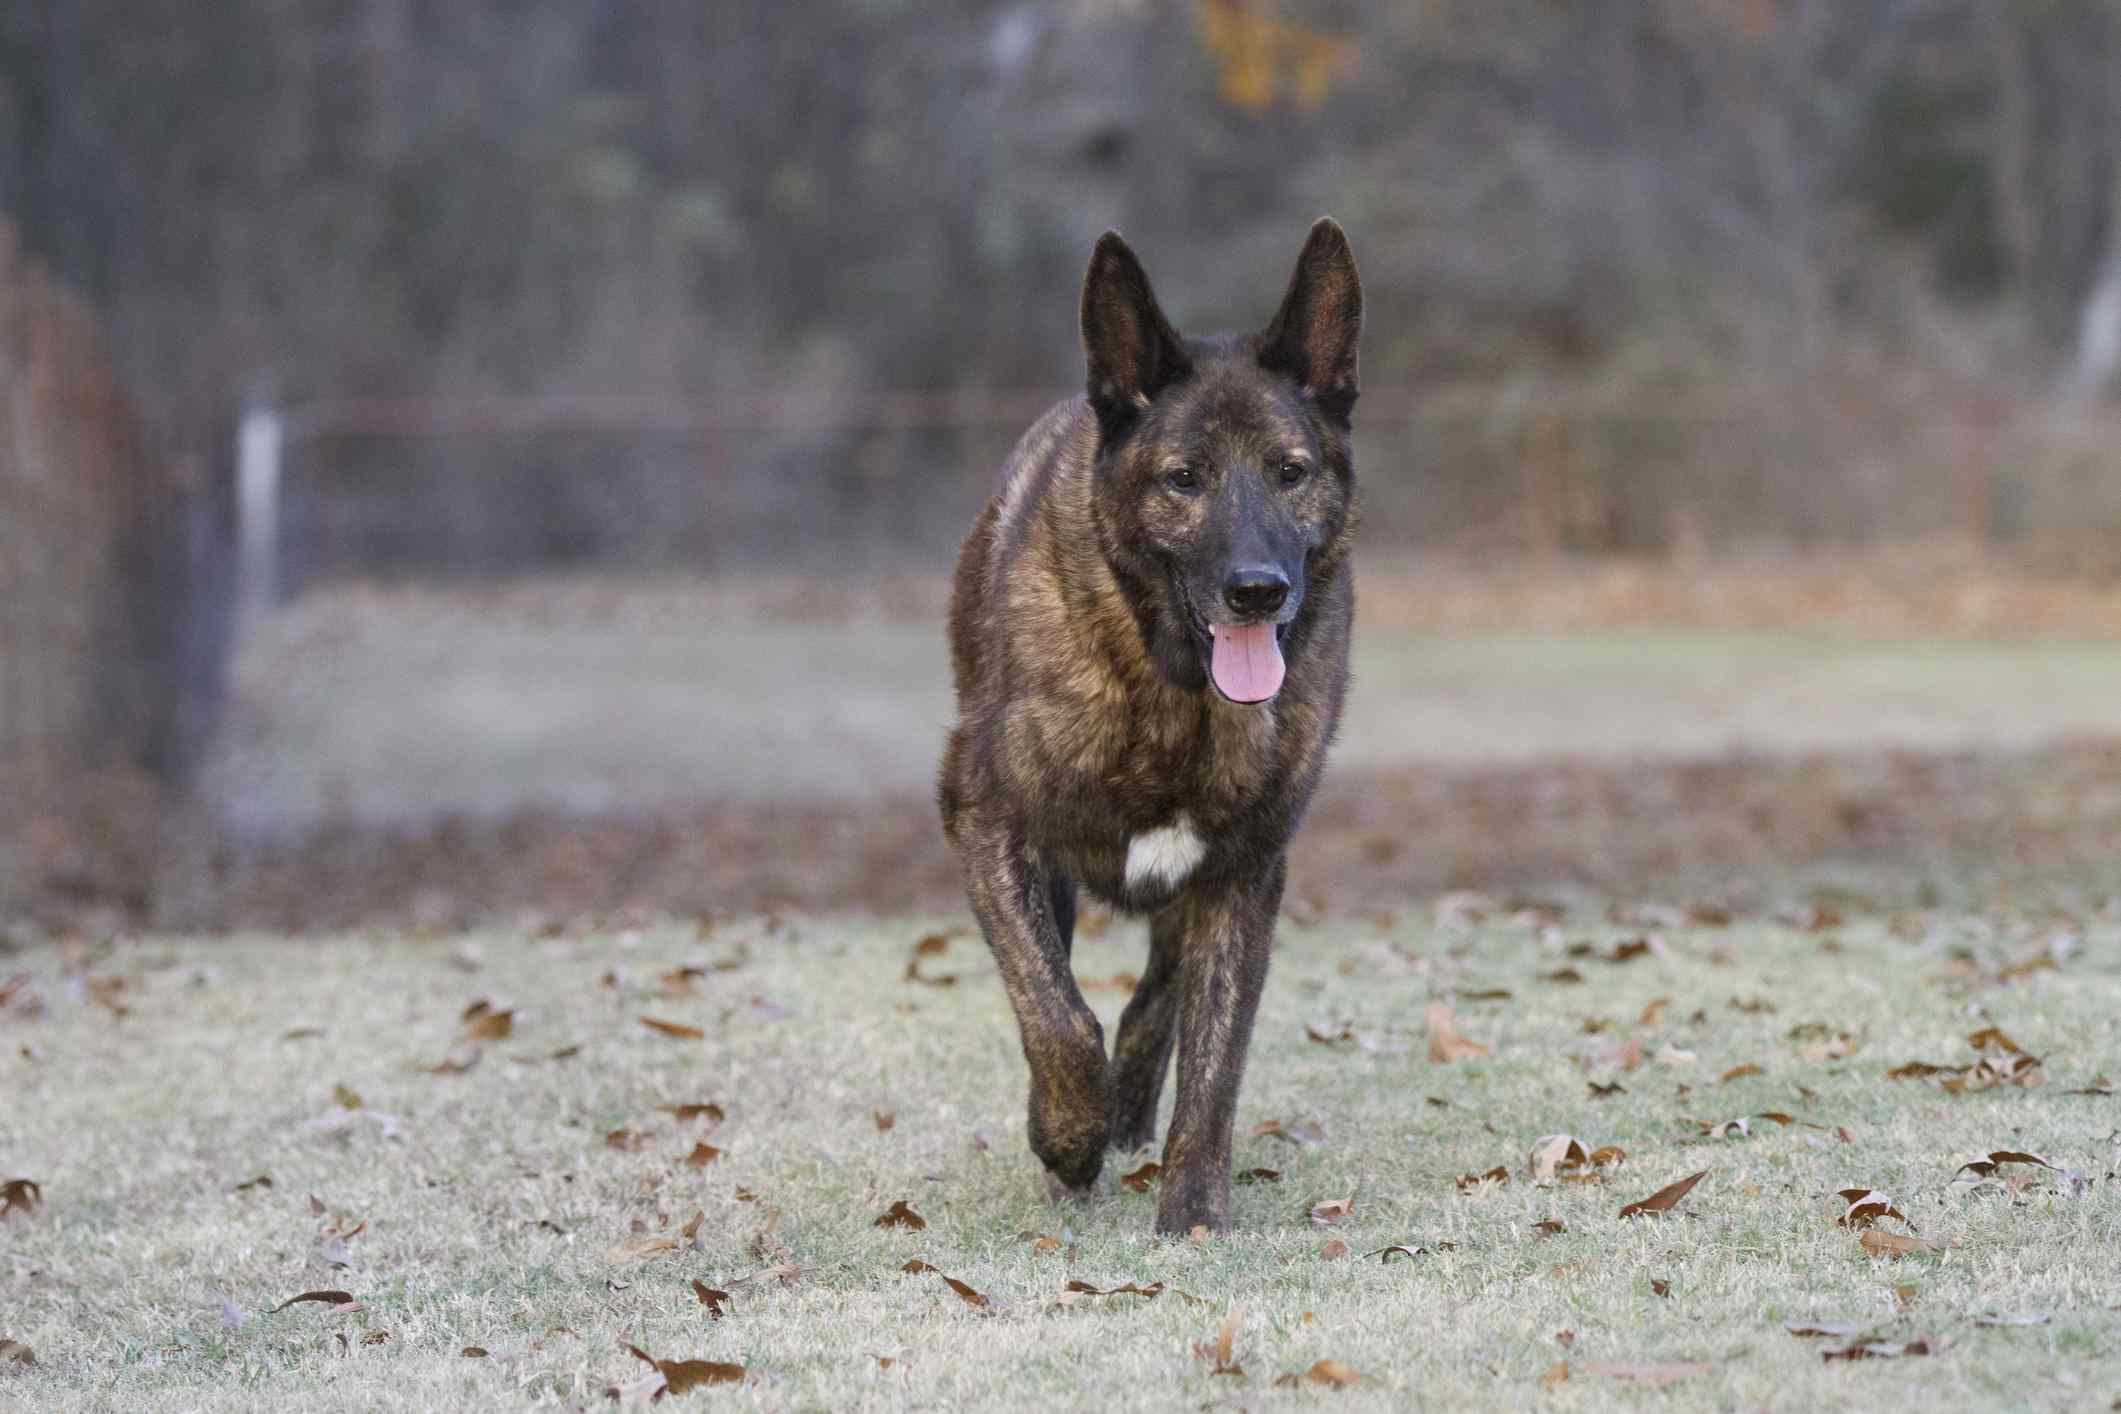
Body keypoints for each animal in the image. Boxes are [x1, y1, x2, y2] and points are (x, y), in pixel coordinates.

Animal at [941, 216, 1365, 1229]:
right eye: (1183, 479)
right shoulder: (988, 826)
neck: (1172, 690)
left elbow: (1214, 1062)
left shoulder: (1245, 873)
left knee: (1154, 1004)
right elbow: (1056, 1015)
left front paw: (1193, 1214)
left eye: (1290, 473)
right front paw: (1066, 1136)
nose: (1258, 590)